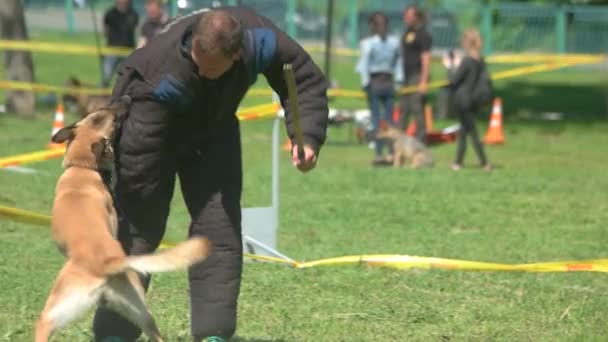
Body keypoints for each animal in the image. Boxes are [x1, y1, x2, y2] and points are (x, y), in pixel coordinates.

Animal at [35, 95, 213, 340]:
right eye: (106, 114)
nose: (127, 97)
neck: (83, 168)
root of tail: (108, 263)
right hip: (137, 309)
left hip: (58, 310)